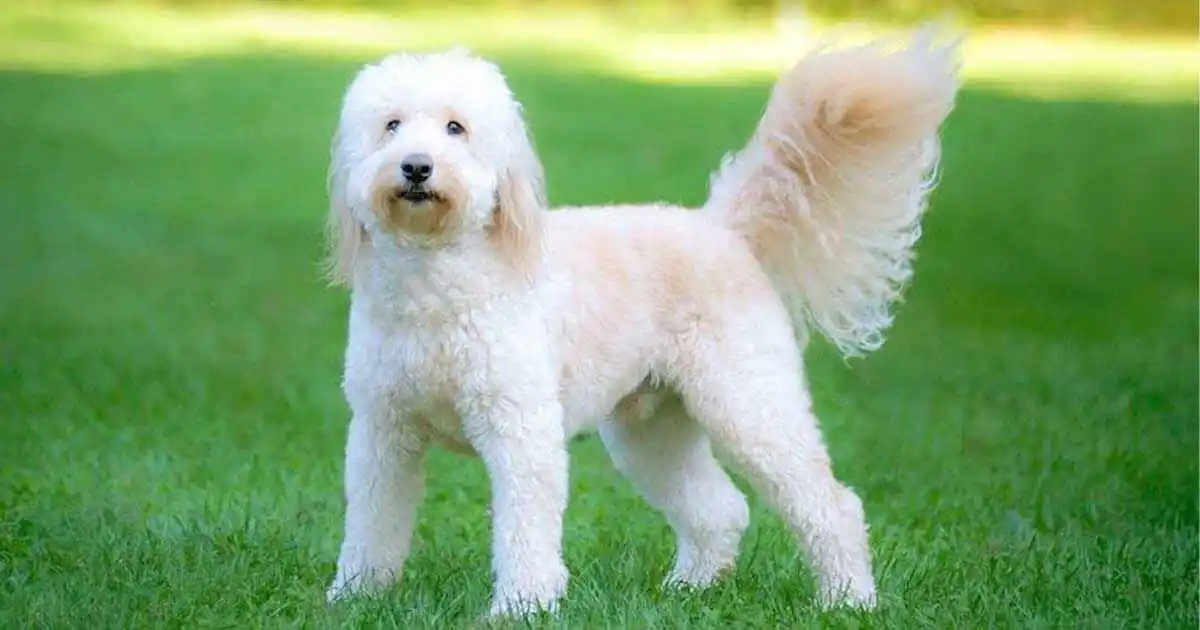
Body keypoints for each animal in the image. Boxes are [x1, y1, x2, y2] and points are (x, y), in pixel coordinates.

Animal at [324, 30, 960, 619]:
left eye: (456, 128)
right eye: (390, 125)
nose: (416, 167)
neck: (436, 286)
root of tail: (722, 228)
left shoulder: (519, 428)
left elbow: (525, 527)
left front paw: (522, 606)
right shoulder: (383, 430)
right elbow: (372, 520)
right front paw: (355, 595)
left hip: (751, 403)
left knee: (832, 505)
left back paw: (848, 599)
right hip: (653, 428)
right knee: (721, 509)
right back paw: (691, 587)